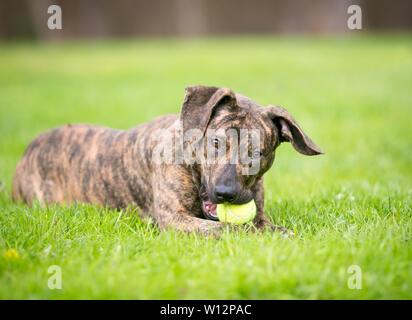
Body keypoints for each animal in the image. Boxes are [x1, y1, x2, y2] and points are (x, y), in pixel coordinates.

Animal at [11, 86, 324, 236]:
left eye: (257, 153)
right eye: (215, 143)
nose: (226, 193)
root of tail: (28, 149)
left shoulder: (258, 212)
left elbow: (260, 223)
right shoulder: (174, 219)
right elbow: (225, 228)